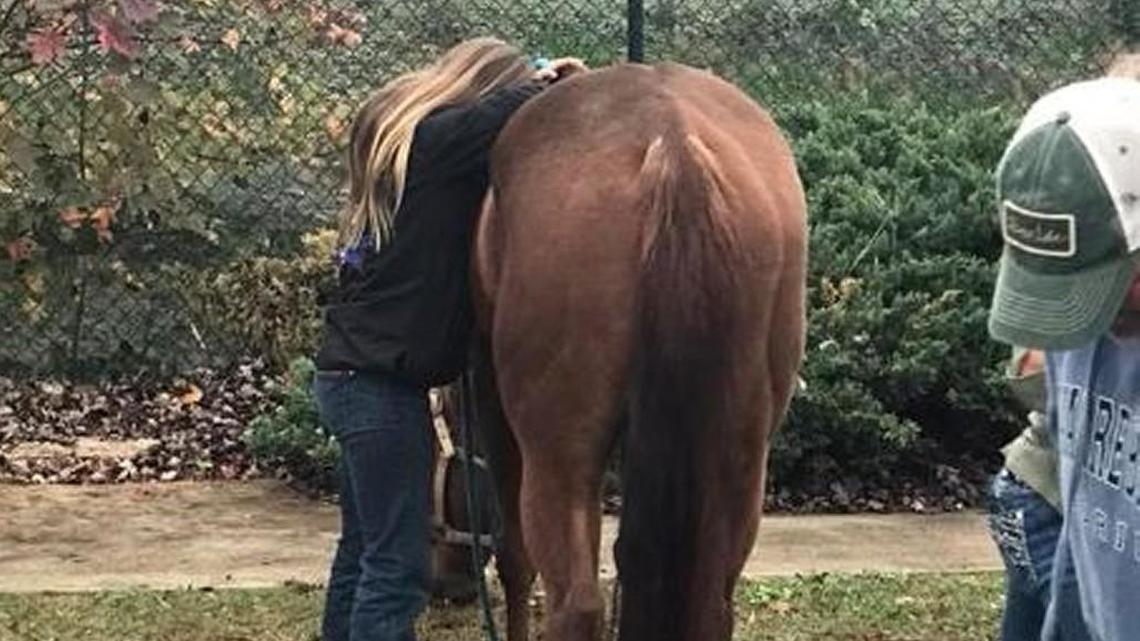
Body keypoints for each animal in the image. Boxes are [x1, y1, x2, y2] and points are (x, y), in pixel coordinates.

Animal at [470, 62, 808, 641]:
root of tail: (672, 144)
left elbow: (513, 556)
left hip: (558, 450)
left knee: (575, 600)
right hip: (740, 448)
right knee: (713, 599)